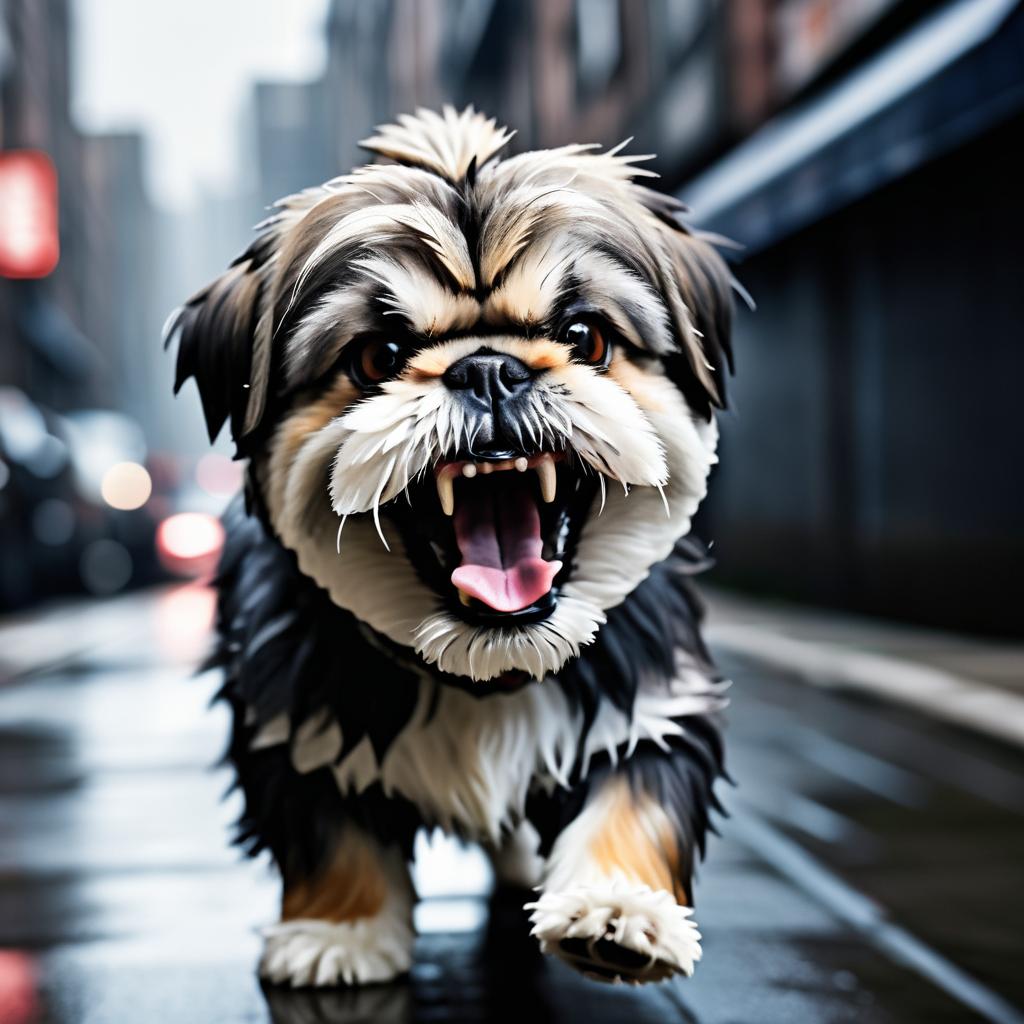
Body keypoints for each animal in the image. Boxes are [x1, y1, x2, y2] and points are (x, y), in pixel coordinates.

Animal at [172, 108, 741, 987]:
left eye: (585, 336)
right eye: (378, 356)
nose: (489, 369)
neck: (484, 672)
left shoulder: (654, 699)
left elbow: (635, 800)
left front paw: (617, 910)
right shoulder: (294, 724)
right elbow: (331, 834)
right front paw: (339, 932)